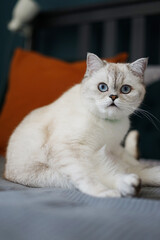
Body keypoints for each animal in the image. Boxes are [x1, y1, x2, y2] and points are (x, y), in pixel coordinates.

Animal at [4, 54, 160, 197]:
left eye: (125, 89)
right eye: (102, 87)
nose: (113, 97)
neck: (108, 125)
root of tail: (5, 172)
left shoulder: (113, 147)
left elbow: (132, 166)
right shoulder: (71, 148)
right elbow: (87, 176)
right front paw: (104, 193)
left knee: (133, 168)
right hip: (53, 173)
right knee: (117, 173)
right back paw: (128, 187)